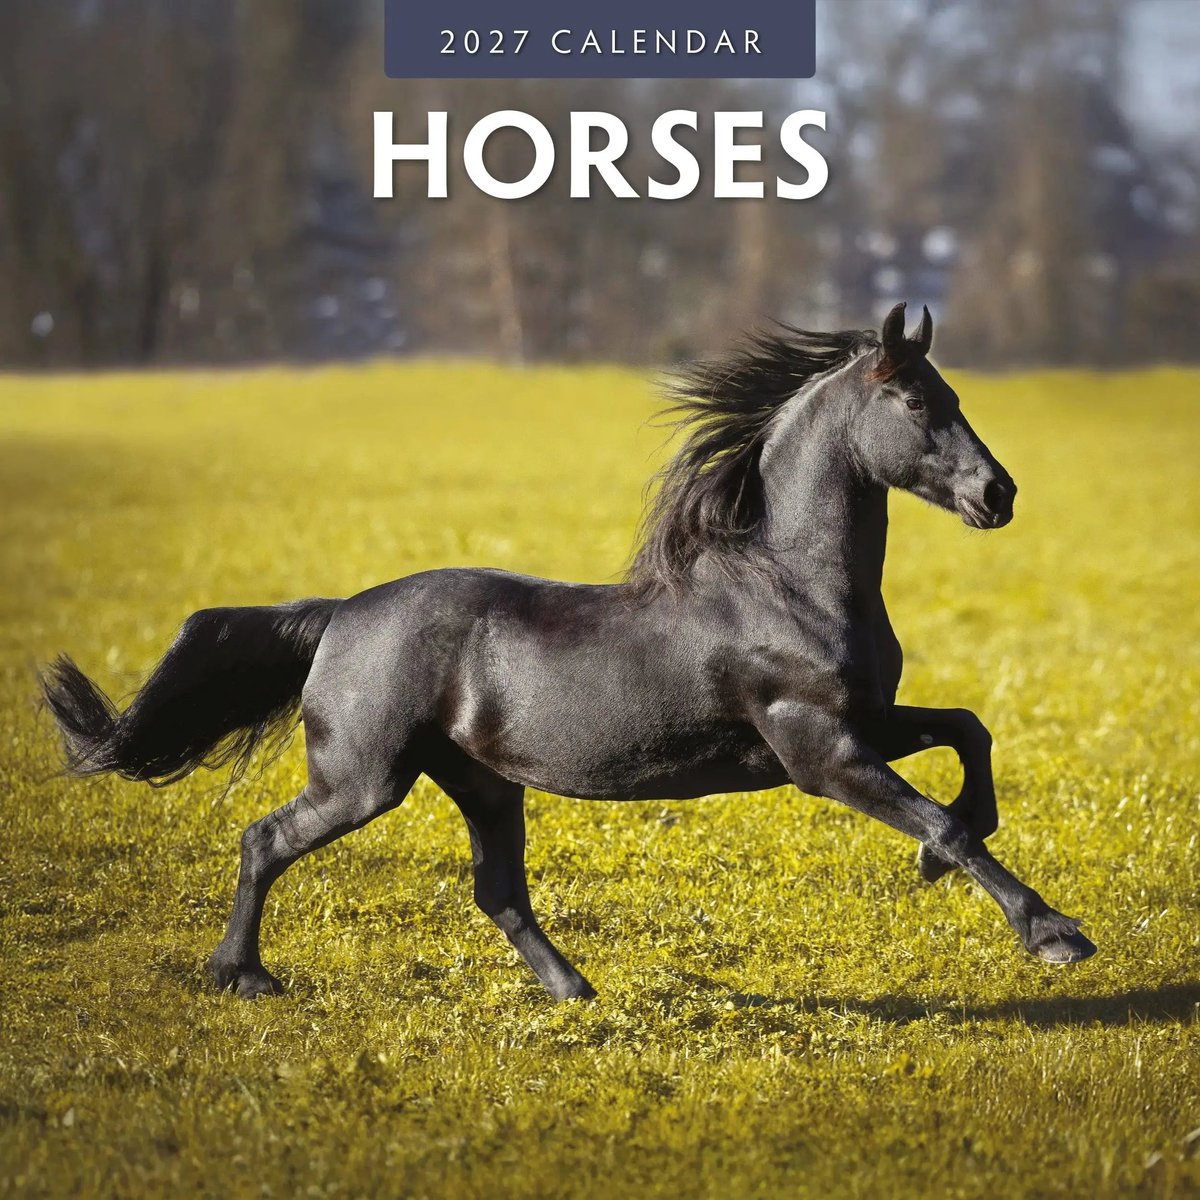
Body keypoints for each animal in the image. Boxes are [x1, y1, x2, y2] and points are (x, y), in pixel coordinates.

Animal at [40, 302, 1097, 1001]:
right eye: (917, 403)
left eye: (949, 392)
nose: (998, 494)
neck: (787, 583)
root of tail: (340, 614)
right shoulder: (817, 750)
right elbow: (946, 821)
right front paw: (1053, 934)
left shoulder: (864, 724)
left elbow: (970, 733)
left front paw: (945, 865)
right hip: (364, 779)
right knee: (267, 839)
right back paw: (242, 976)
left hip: (479, 780)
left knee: (499, 890)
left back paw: (576, 993)